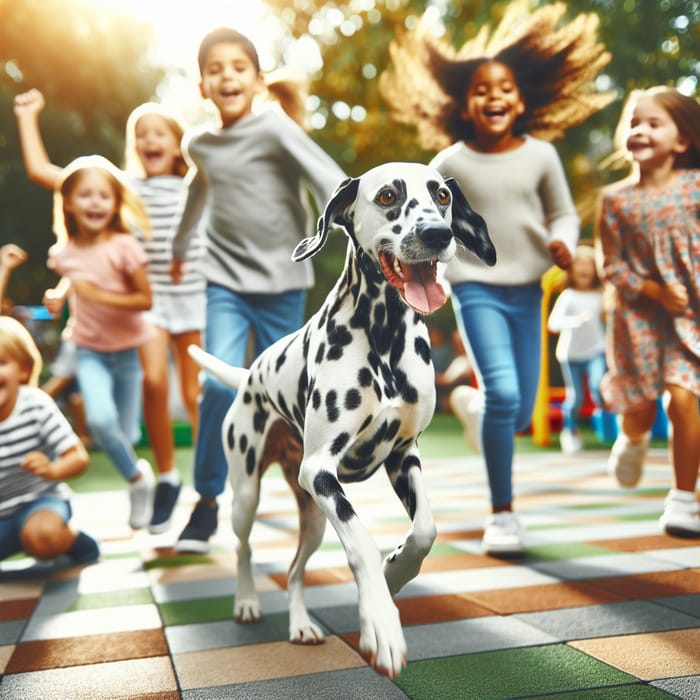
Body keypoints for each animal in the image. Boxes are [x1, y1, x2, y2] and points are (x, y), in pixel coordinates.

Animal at [189, 163, 494, 680]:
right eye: (388, 195)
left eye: (443, 196)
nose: (437, 234)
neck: (385, 332)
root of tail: (251, 373)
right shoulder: (321, 472)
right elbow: (362, 543)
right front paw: (382, 625)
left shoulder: (403, 457)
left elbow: (425, 531)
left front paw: (395, 573)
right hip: (248, 493)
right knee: (245, 548)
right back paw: (248, 602)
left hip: (312, 517)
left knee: (295, 570)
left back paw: (300, 625)